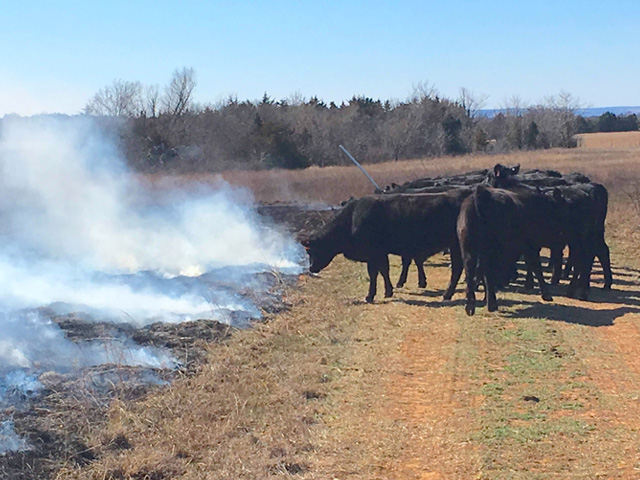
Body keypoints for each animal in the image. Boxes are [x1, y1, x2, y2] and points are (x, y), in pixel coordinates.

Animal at [303, 189, 471, 303]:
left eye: (312, 251)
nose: (311, 268)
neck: (352, 219)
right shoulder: (380, 252)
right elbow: (384, 270)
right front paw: (388, 291)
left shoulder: (372, 252)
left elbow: (373, 272)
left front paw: (370, 295)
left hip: (457, 245)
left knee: (457, 268)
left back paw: (447, 294)